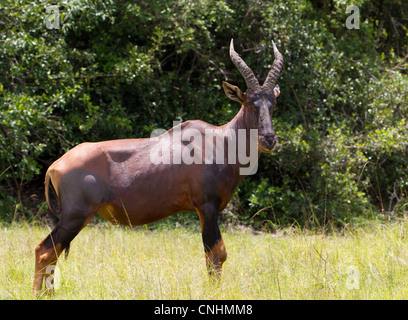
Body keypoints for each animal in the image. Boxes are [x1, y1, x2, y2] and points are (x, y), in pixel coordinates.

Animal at [33, 38, 284, 294]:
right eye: (250, 103)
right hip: (75, 215)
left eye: (272, 104)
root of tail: (55, 165)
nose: (269, 139)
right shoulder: (206, 206)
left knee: (50, 253)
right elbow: (216, 255)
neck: (219, 140)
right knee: (44, 251)